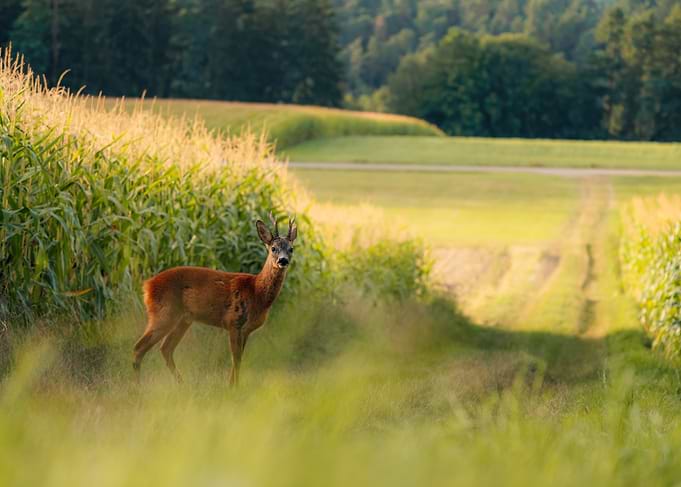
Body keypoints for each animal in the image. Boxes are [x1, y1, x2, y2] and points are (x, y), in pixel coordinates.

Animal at [132, 213, 297, 387]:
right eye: (273, 248)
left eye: (291, 249)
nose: (283, 260)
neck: (256, 292)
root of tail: (147, 286)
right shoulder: (233, 322)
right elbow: (236, 359)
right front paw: (233, 387)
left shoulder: (245, 330)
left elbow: (238, 359)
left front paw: (232, 385)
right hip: (164, 313)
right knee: (139, 347)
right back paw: (138, 387)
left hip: (183, 319)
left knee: (166, 348)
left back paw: (182, 384)